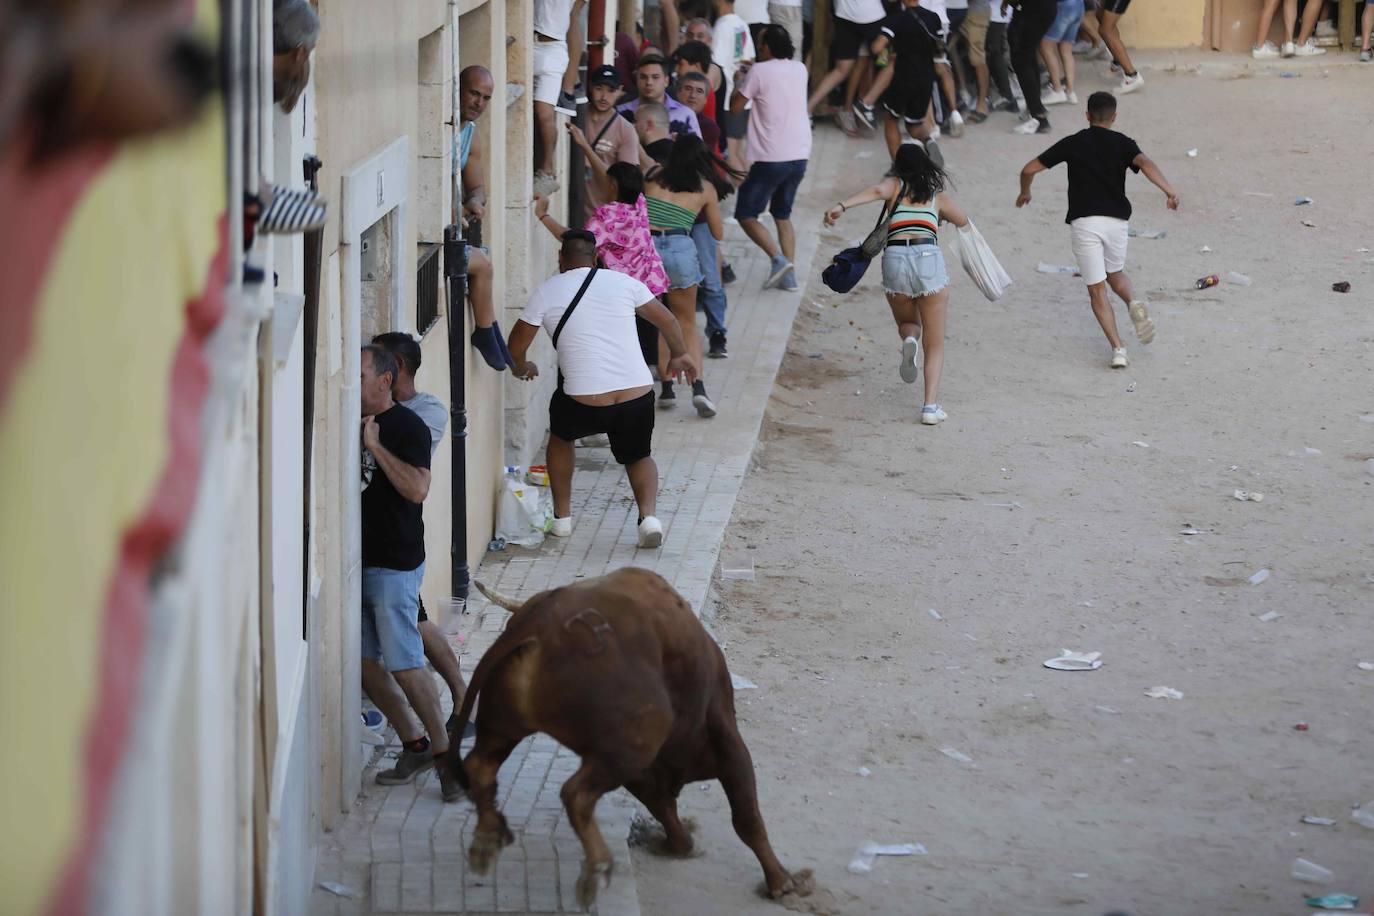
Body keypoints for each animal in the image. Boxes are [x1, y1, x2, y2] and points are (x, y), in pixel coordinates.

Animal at [445, 565, 807, 911]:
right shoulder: (725, 740)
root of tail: (540, 622)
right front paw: (781, 882)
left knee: (480, 766)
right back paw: (596, 867)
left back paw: (487, 840)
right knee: (576, 794)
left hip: (504, 724)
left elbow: (661, 804)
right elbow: (746, 816)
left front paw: (682, 843)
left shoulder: (639, 771)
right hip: (636, 744)